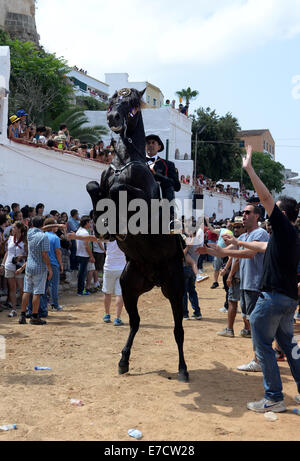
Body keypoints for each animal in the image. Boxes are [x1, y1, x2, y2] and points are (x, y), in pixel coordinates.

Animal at [86, 86, 189, 380]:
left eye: (132, 105)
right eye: (113, 100)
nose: (113, 118)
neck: (126, 161)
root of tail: (155, 279)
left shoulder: (142, 200)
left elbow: (118, 189)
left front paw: (114, 222)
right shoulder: (100, 184)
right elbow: (94, 186)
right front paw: (102, 223)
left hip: (175, 289)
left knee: (178, 330)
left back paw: (183, 369)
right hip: (129, 286)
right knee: (135, 322)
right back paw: (123, 360)